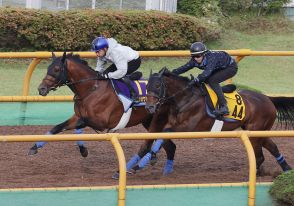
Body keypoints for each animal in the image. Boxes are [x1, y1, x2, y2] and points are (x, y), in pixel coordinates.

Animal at [29, 51, 177, 175]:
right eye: (48, 68)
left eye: (57, 69)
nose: (41, 89)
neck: (91, 89)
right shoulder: (78, 116)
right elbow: (57, 127)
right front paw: (35, 147)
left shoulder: (101, 123)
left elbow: (78, 127)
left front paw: (83, 150)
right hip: (149, 121)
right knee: (170, 146)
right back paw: (165, 169)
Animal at [145, 68, 294, 175]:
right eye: (146, 86)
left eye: (157, 85)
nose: (149, 107)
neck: (186, 98)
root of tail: (268, 98)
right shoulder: (172, 124)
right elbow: (161, 134)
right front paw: (152, 155)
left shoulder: (188, 127)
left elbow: (165, 132)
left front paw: (149, 157)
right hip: (258, 130)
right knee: (272, 147)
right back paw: (286, 169)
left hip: (255, 131)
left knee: (259, 156)